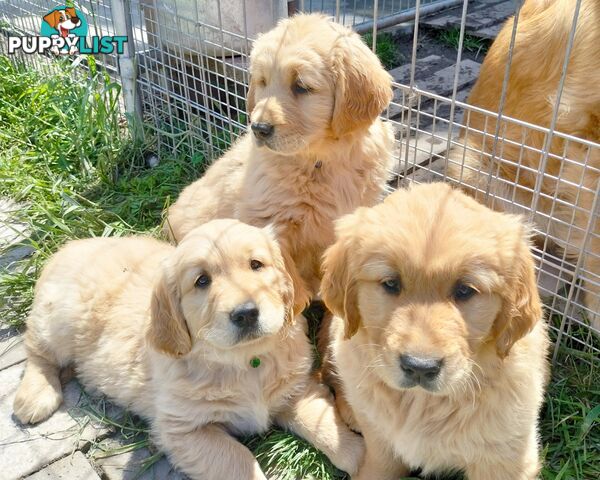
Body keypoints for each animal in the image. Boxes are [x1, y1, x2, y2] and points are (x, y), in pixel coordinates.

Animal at [11, 220, 364, 480]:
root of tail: (72, 246)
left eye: (256, 265)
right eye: (202, 281)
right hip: (57, 320)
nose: (246, 313)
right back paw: (35, 396)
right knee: (36, 349)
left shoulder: (296, 390)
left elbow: (327, 427)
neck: (246, 362)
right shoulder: (184, 430)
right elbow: (239, 460)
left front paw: (361, 457)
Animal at [166, 13, 396, 314]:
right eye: (262, 81)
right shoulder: (267, 221)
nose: (259, 128)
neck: (321, 160)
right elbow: (286, 276)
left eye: (302, 86)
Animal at [322, 182, 552, 478]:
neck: (421, 402)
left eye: (465, 290)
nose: (420, 367)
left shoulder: (504, 460)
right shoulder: (381, 446)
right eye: (391, 283)